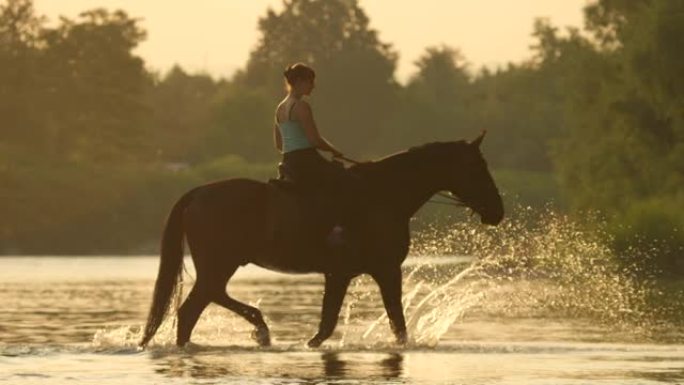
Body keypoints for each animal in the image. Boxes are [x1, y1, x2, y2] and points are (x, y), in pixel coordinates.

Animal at [139, 133, 502, 348]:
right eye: (477, 166)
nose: (497, 210)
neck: (384, 195)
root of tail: (197, 193)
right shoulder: (383, 270)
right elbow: (394, 323)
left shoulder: (342, 275)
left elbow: (328, 326)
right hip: (219, 263)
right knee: (193, 308)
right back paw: (257, 328)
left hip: (221, 265)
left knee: (207, 300)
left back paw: (259, 327)